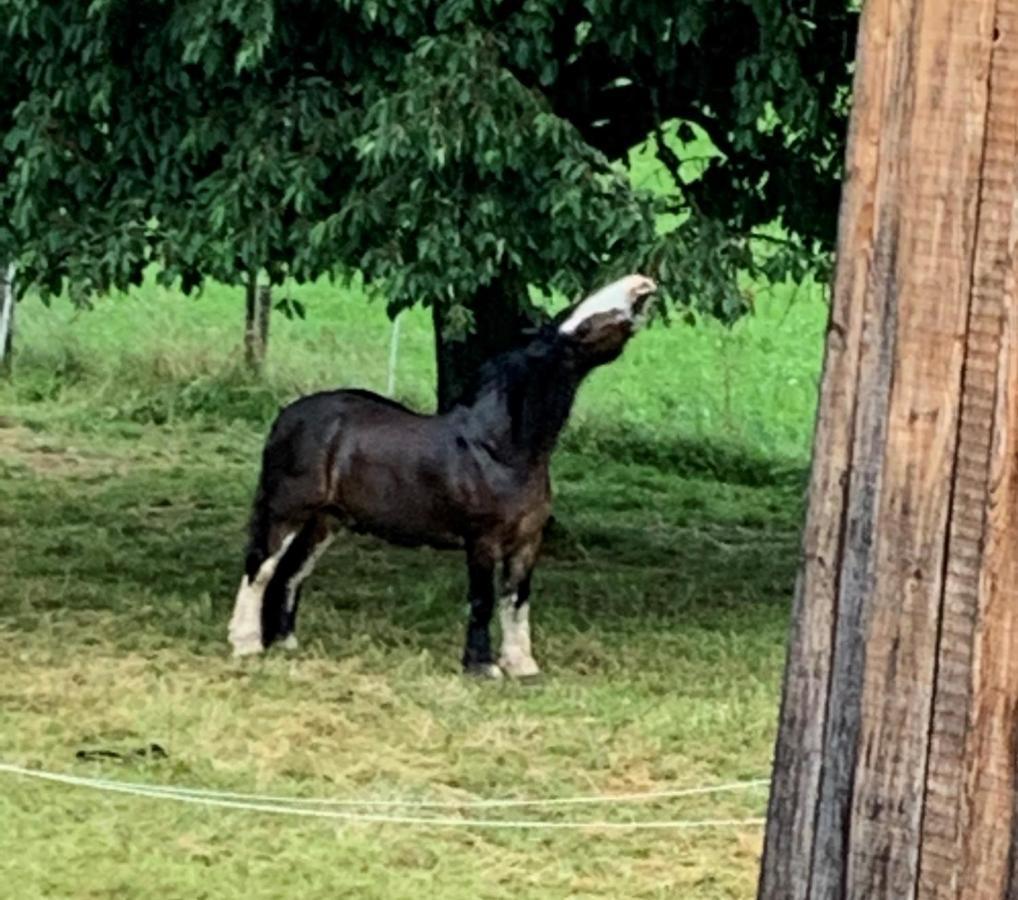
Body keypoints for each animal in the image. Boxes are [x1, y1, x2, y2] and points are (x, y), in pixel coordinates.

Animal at [229, 272, 659, 676]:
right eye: (582, 322)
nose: (642, 284)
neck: (500, 450)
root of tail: (287, 415)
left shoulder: (527, 541)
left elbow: (516, 600)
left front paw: (521, 665)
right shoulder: (482, 540)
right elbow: (483, 600)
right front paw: (481, 667)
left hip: (325, 521)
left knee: (292, 574)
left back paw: (285, 643)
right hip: (287, 513)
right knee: (260, 569)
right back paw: (246, 644)